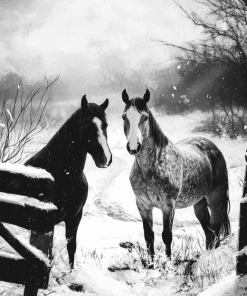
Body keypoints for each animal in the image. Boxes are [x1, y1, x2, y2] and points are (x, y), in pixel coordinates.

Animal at [24, 95, 112, 268]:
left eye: (105, 125)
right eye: (87, 125)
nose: (105, 158)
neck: (64, 176)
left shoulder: (74, 218)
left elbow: (71, 247)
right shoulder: (46, 223)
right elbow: (46, 252)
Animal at [120, 89, 231, 260]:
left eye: (145, 117)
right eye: (124, 117)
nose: (133, 146)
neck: (150, 168)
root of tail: (212, 146)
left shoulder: (168, 206)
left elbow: (167, 236)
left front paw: (168, 264)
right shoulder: (143, 205)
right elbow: (149, 236)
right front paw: (152, 264)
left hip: (216, 198)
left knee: (216, 228)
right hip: (199, 203)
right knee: (209, 232)